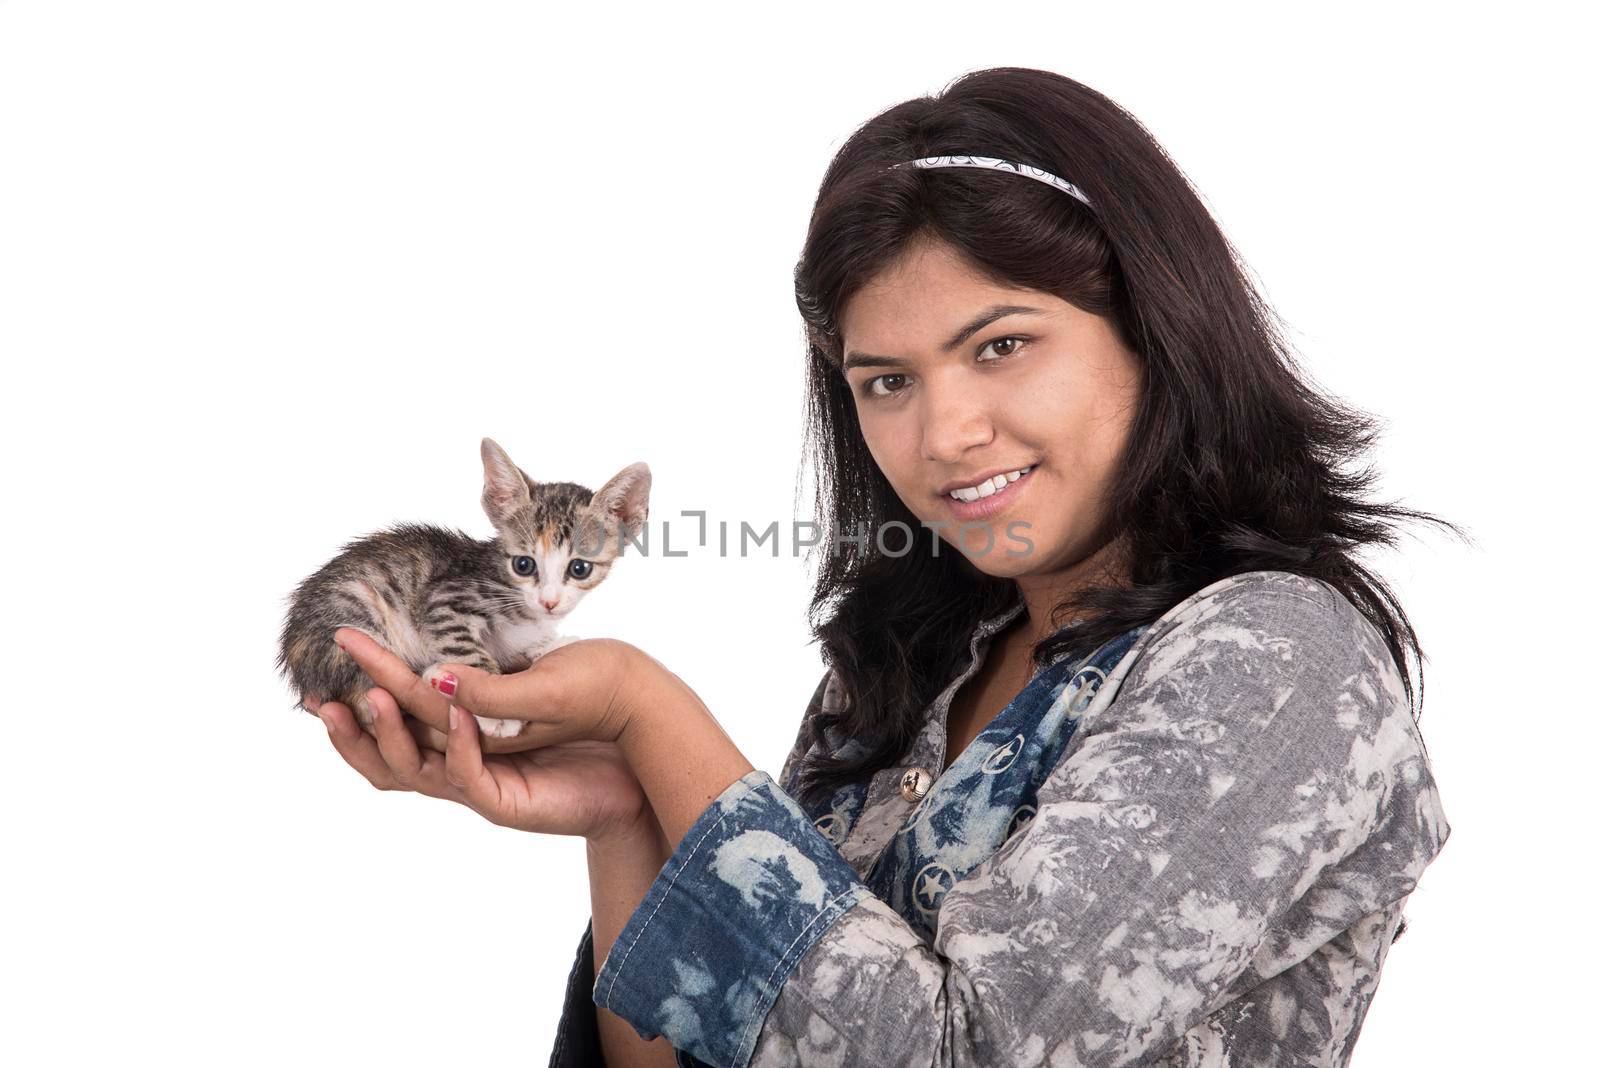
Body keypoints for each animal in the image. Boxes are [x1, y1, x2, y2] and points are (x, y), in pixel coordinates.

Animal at [276, 438, 649, 738]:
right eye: (523, 565)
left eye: (579, 568)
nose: (550, 602)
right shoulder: (446, 598)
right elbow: (465, 647)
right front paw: (496, 713)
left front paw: (551, 643)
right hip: (350, 614)